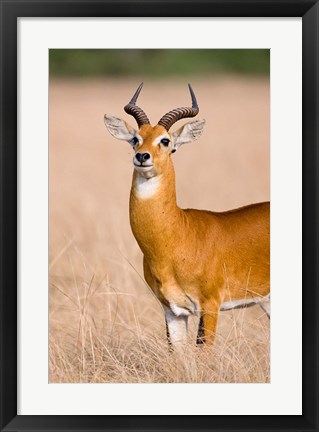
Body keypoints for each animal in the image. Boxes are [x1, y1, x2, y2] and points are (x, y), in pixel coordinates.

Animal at [105, 83, 270, 348]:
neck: (178, 234)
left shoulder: (210, 305)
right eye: (135, 139)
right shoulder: (172, 310)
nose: (142, 156)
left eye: (166, 140)